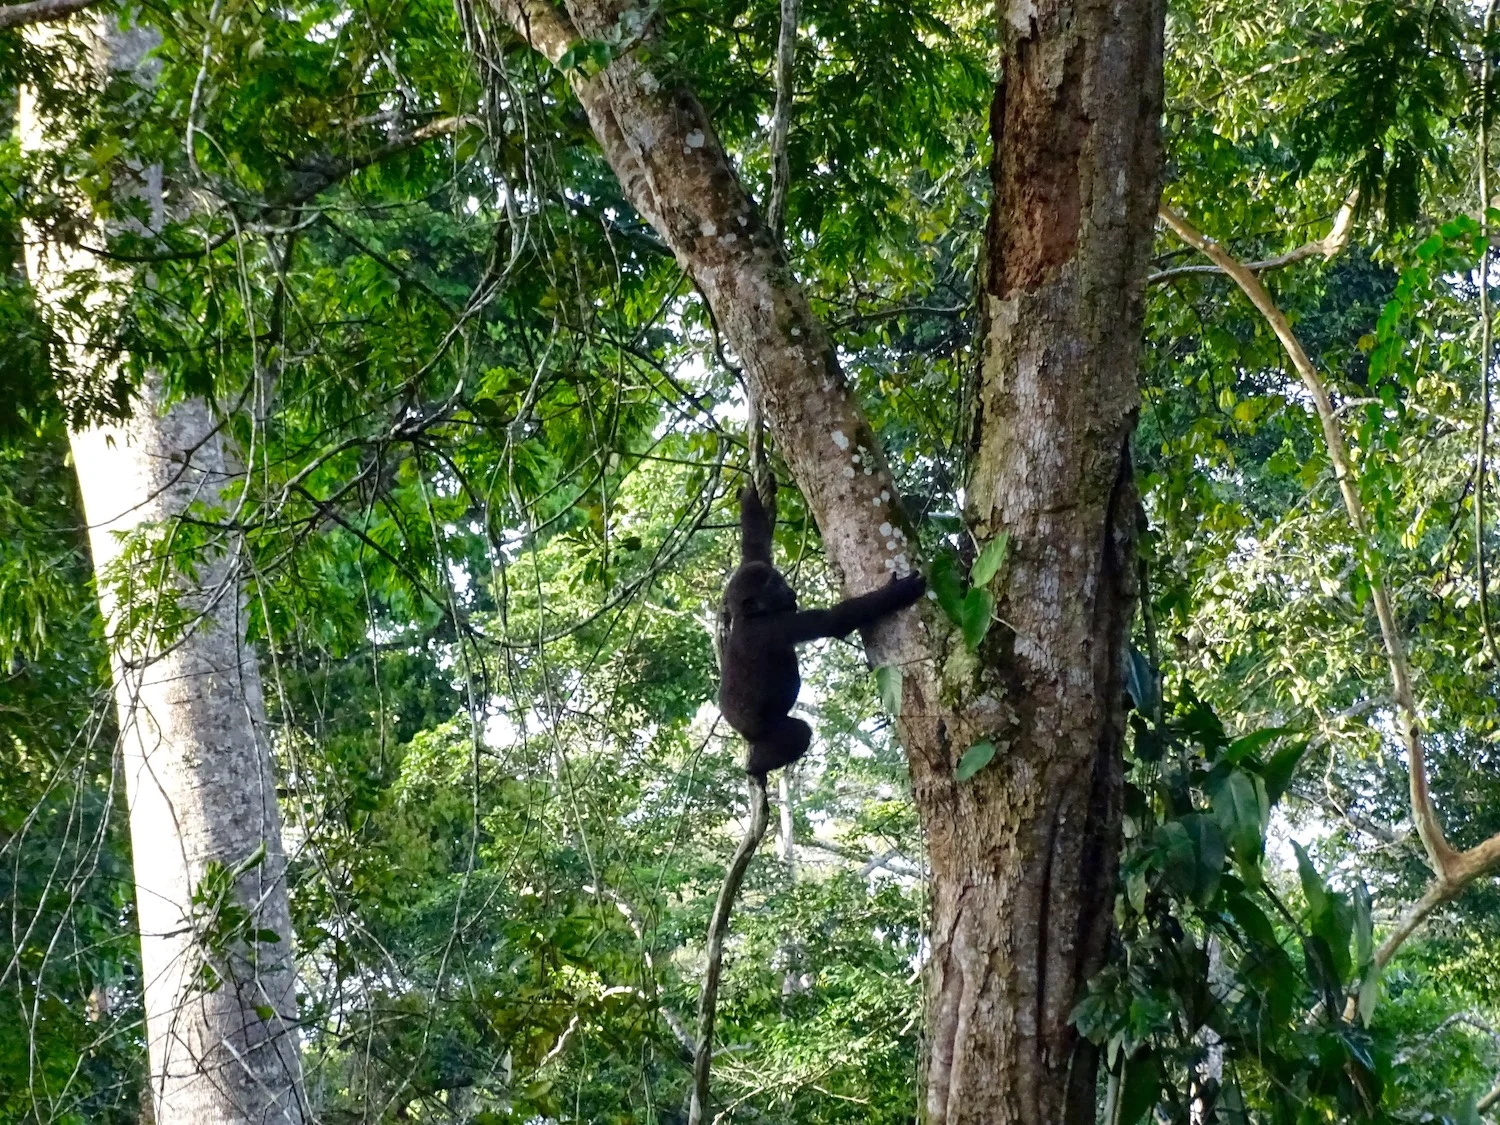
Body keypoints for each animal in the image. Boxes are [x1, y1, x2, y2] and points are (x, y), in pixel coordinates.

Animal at [718, 484, 926, 777]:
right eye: (776, 588)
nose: (791, 593)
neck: (749, 615)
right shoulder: (779, 625)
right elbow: (834, 621)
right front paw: (898, 592)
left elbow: (755, 547)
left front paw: (751, 495)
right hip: (762, 728)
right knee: (797, 733)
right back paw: (757, 766)